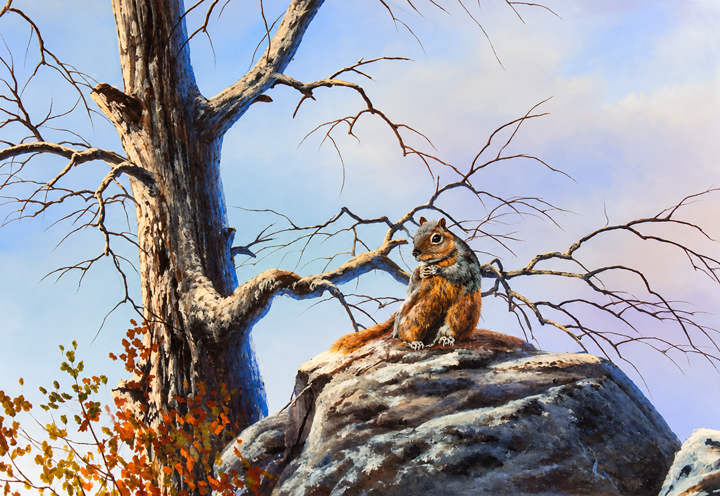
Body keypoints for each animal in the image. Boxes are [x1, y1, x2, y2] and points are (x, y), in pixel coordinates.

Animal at [331, 217, 482, 353]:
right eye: (414, 236)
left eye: (436, 238)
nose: (415, 252)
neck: (441, 259)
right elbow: (415, 278)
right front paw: (422, 272)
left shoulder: (467, 263)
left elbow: (458, 271)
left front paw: (436, 270)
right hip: (417, 315)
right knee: (404, 333)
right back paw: (414, 341)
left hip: (461, 314)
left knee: (449, 330)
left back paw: (446, 338)